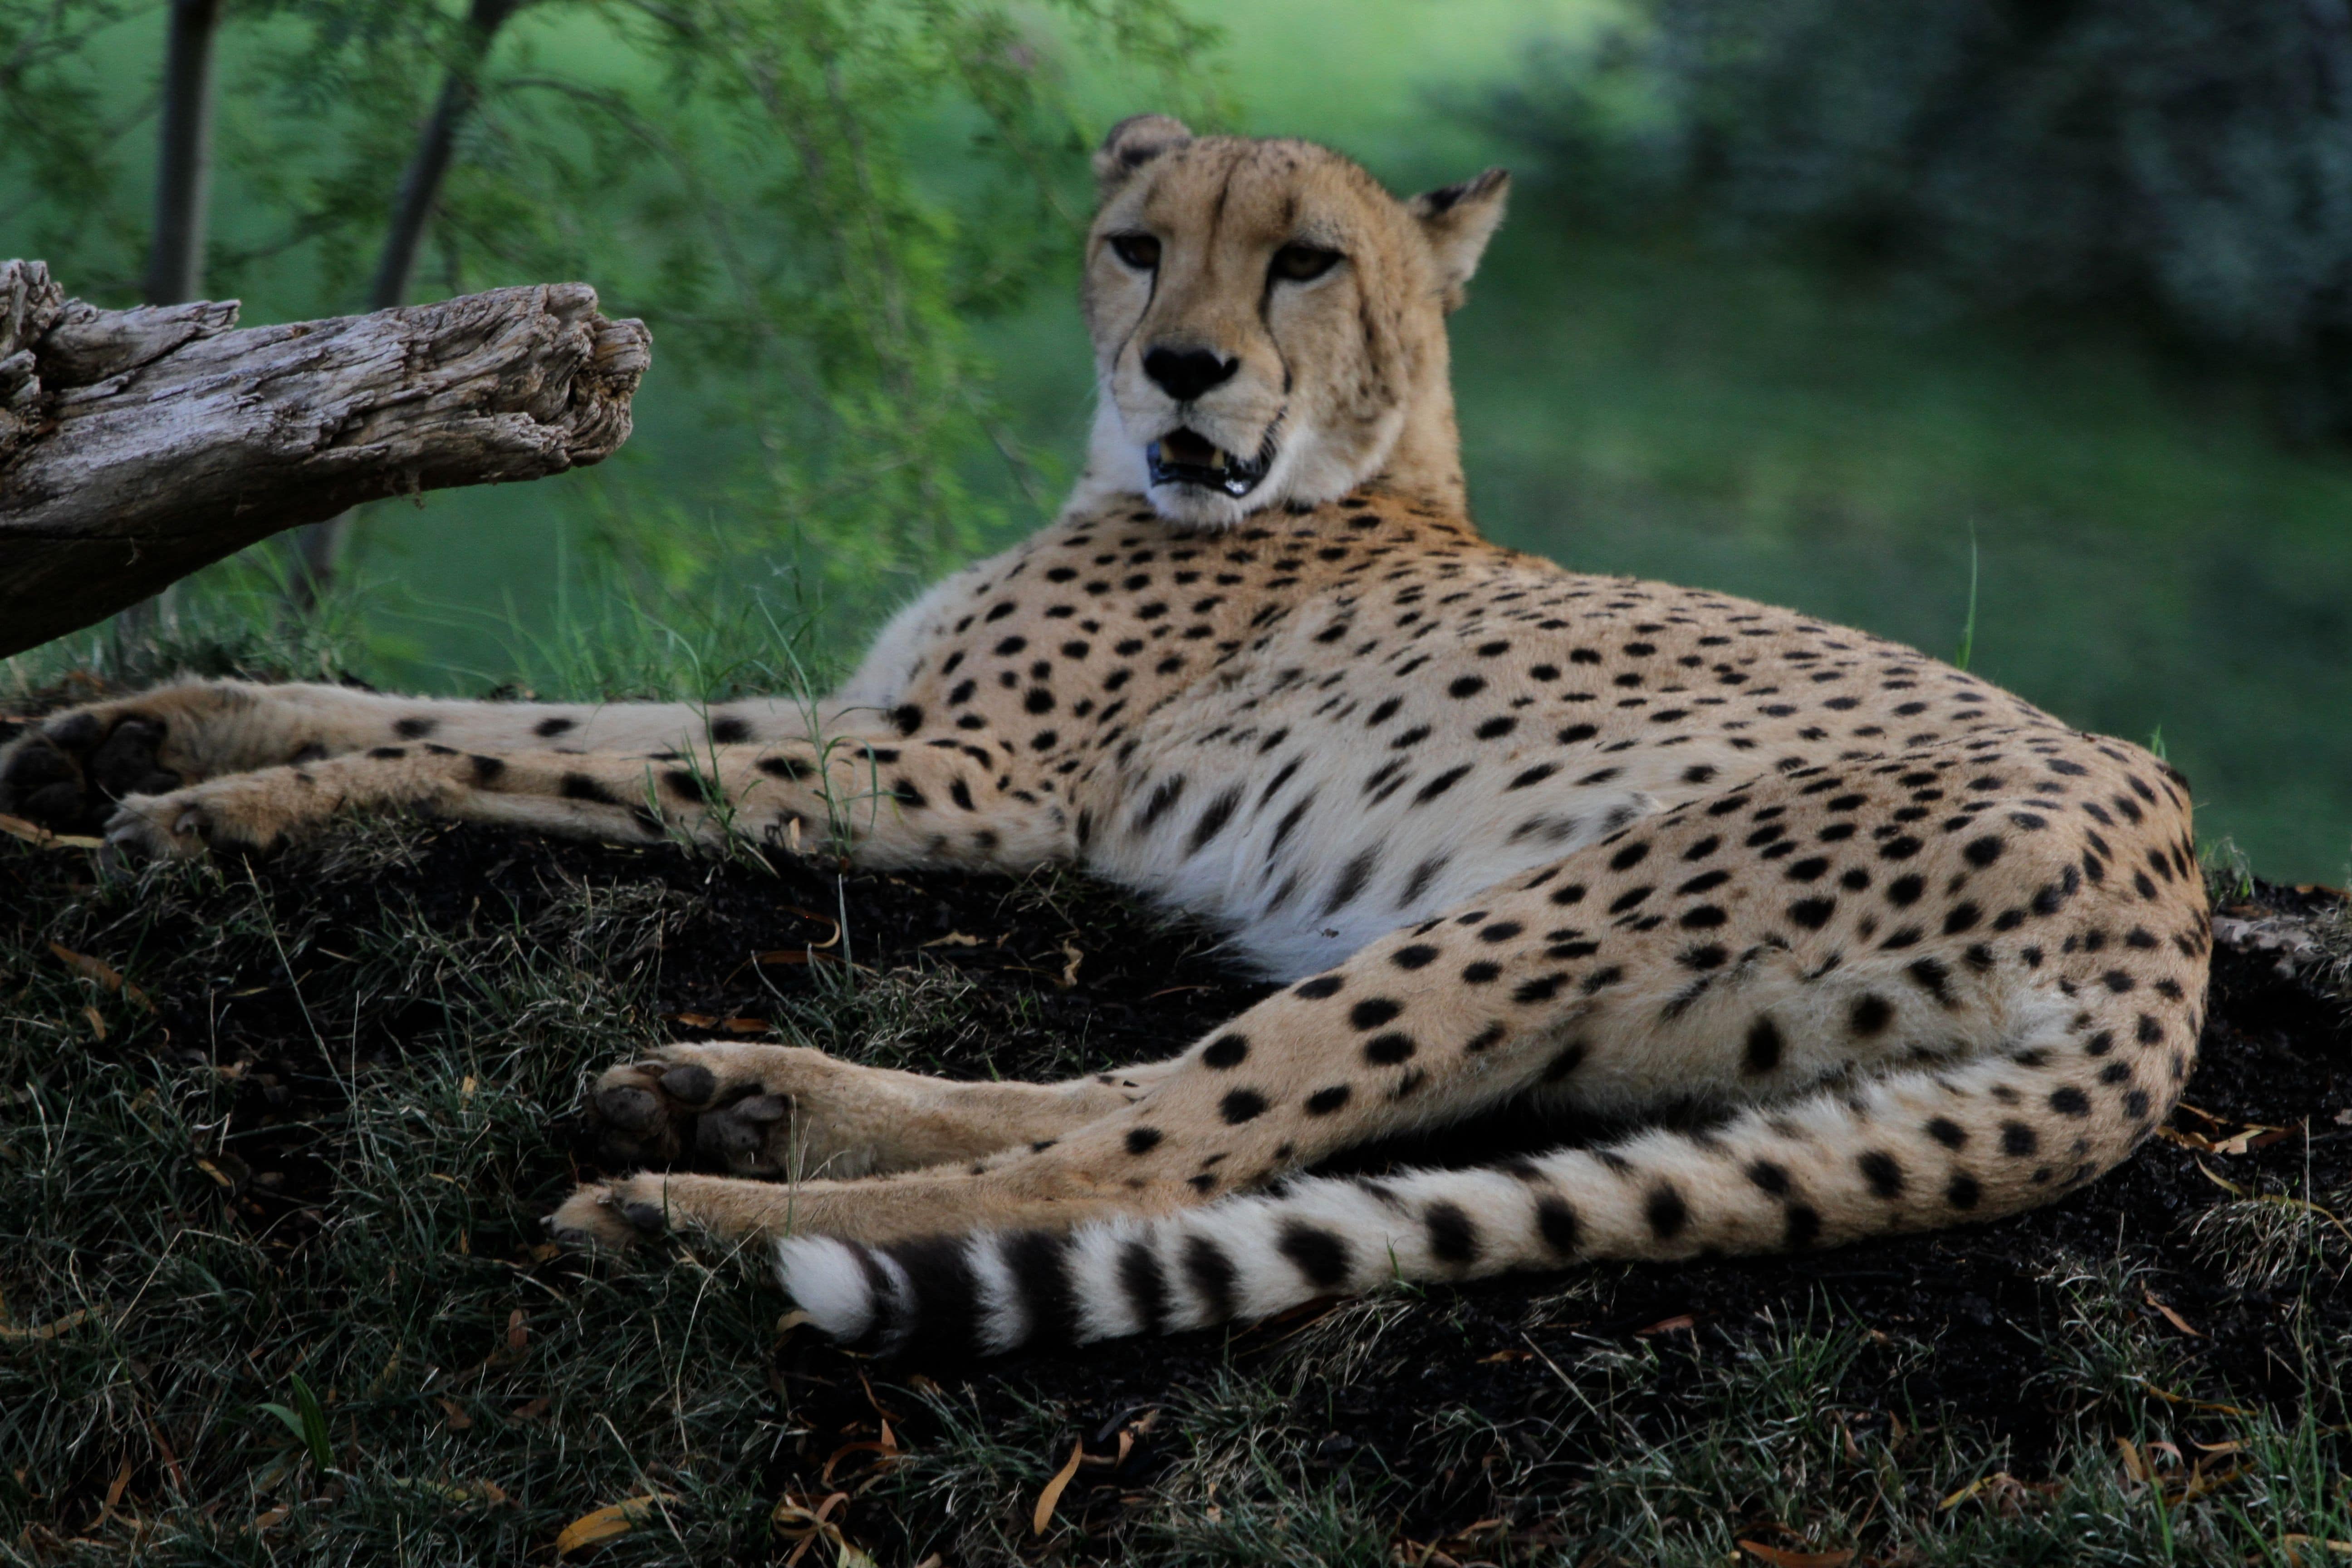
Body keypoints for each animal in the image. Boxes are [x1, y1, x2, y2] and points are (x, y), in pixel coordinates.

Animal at [0, 120, 2201, 1363]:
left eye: (1306, 260)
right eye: (1141, 241)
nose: (1185, 367)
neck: (1354, 475)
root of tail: (2168, 906)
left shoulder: (965, 778)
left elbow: (527, 759)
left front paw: (238, 810)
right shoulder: (881, 717)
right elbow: (510, 717)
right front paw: (148, 727)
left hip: (1565, 899)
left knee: (1150, 1155)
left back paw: (691, 1214)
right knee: (1133, 1099)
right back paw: (736, 1091)